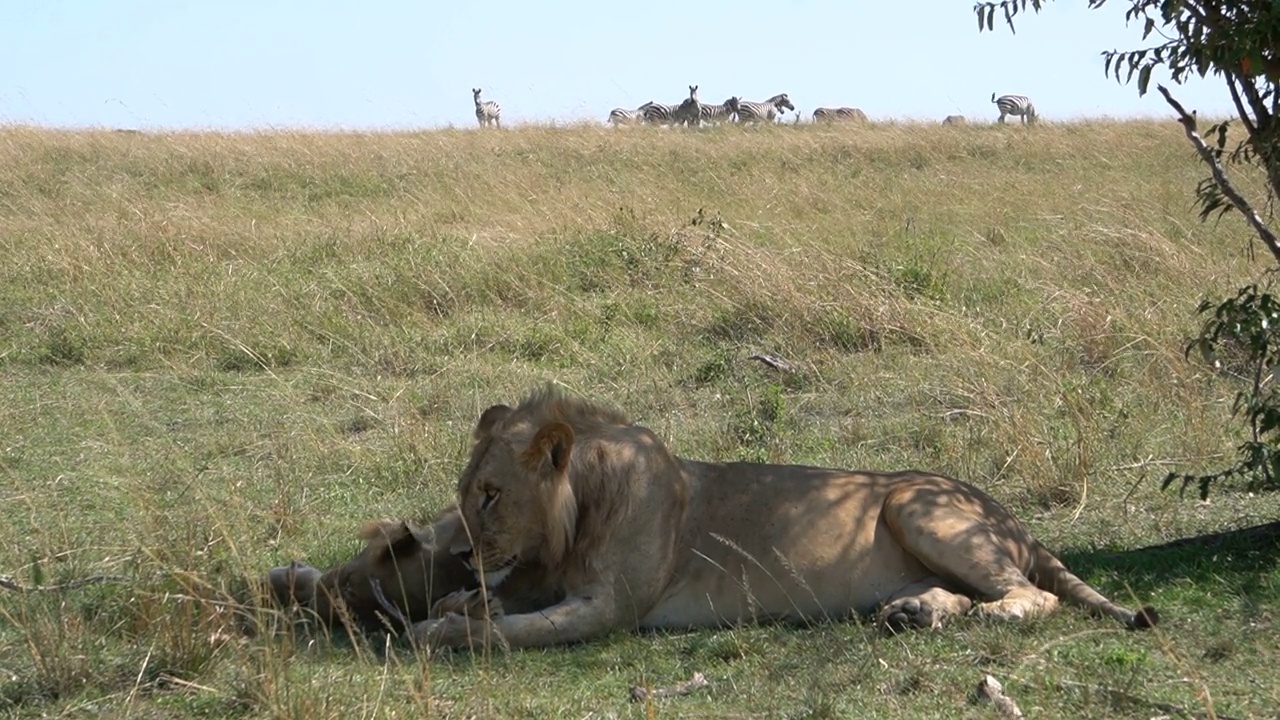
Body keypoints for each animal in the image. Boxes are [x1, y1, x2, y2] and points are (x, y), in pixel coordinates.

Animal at [264, 386, 1157, 645]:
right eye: (462, 492)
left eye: (489, 494)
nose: (465, 553)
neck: (576, 514)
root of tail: (1012, 516)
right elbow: (494, 606)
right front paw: (448, 600)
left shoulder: (610, 610)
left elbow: (501, 632)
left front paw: (437, 627)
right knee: (970, 593)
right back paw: (914, 612)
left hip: (918, 503)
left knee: (1028, 596)